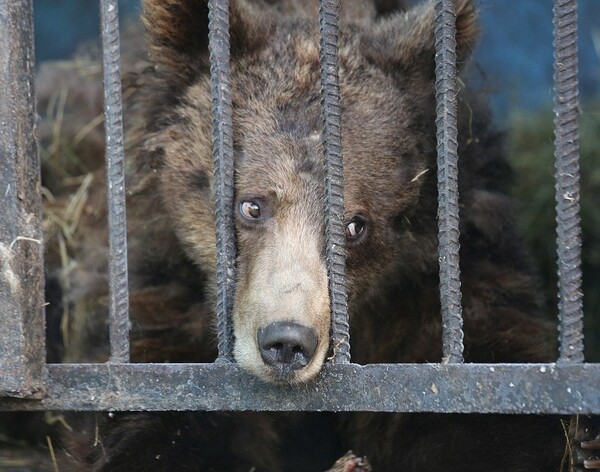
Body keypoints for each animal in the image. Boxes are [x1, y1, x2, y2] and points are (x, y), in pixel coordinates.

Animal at [38, 0, 572, 470]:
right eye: (252, 205)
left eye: (355, 225)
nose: (287, 341)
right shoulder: (163, 291)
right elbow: (156, 417)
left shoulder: (439, 290)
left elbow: (486, 408)